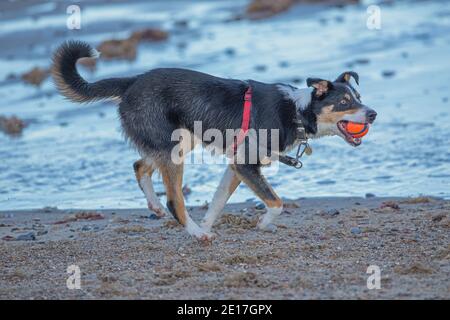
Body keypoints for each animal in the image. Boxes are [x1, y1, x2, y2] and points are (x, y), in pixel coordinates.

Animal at [51, 40, 376, 240]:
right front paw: (262, 223)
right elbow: (276, 202)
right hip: (173, 149)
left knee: (139, 166)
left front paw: (208, 222)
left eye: (359, 97)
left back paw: (159, 208)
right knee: (174, 199)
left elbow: (217, 203)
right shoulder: (246, 166)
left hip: (179, 141)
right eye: (345, 101)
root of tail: (132, 81)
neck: (296, 111)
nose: (373, 114)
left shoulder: (236, 167)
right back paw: (195, 233)